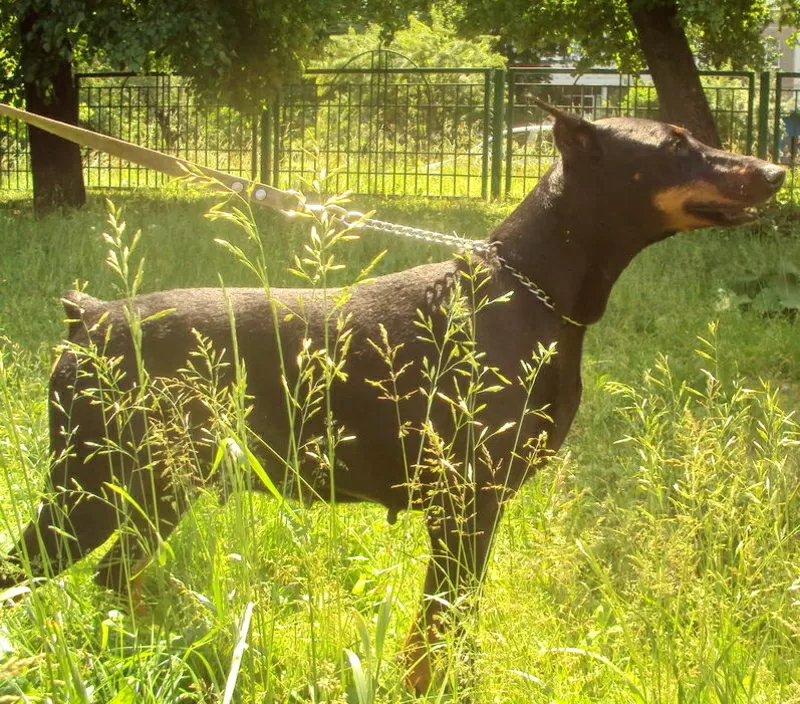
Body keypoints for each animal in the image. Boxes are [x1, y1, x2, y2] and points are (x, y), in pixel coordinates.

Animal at [0, 103, 784, 692]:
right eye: (676, 144)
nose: (778, 171)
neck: (529, 289)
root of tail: (88, 316)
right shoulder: (465, 501)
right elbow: (443, 621)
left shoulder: (471, 507)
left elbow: (444, 624)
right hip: (94, 484)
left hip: (154, 485)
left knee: (115, 575)